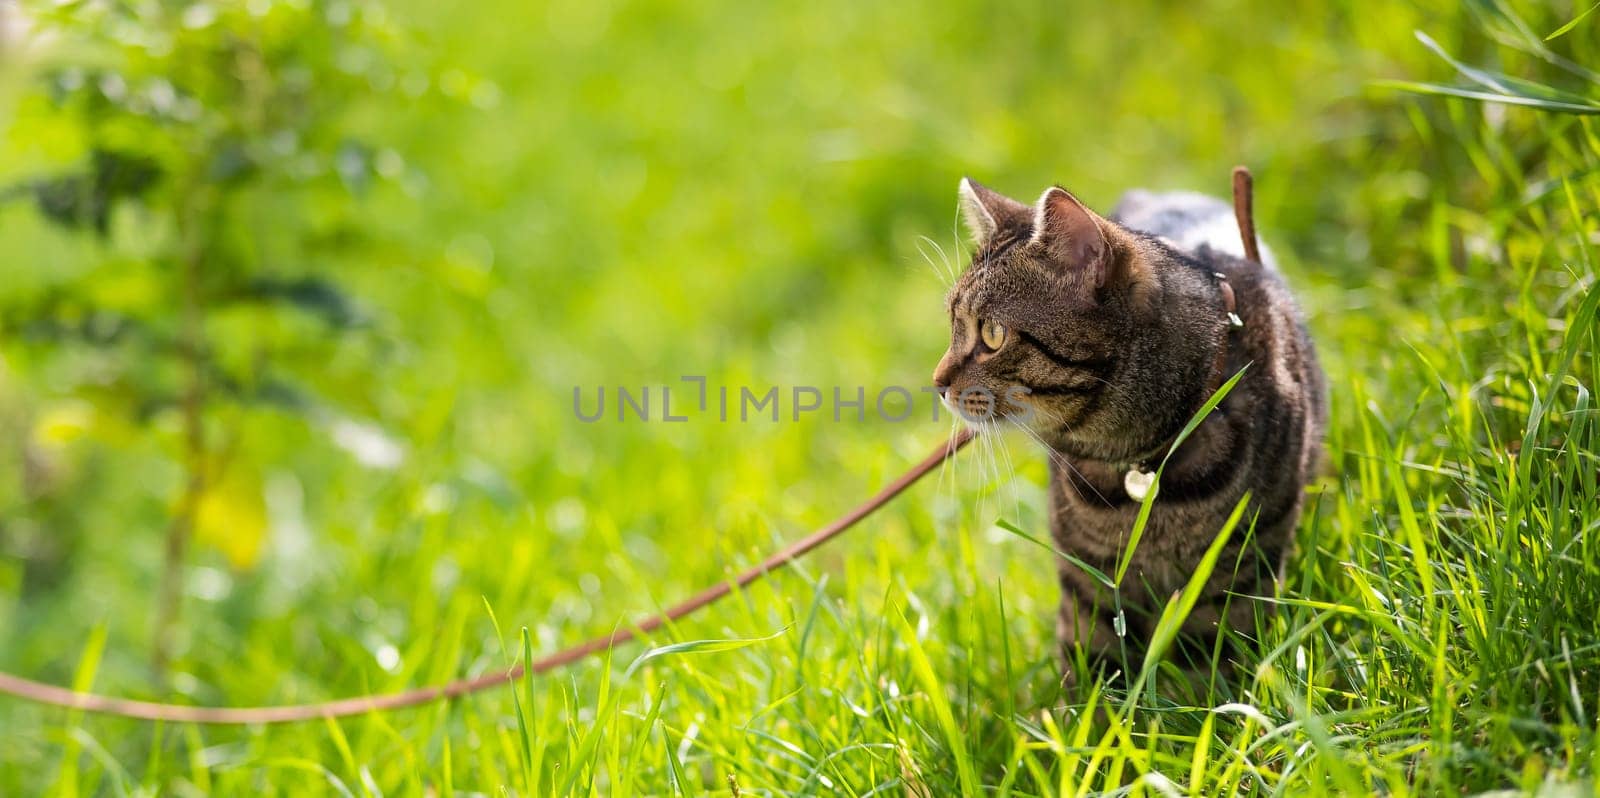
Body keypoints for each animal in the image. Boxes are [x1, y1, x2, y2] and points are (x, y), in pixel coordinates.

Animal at [934, 176, 1324, 674]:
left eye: (992, 335)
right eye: (952, 326)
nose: (937, 382)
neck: (1137, 453)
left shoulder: (1237, 571)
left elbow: (1213, 667)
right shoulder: (1090, 579)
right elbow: (1096, 667)